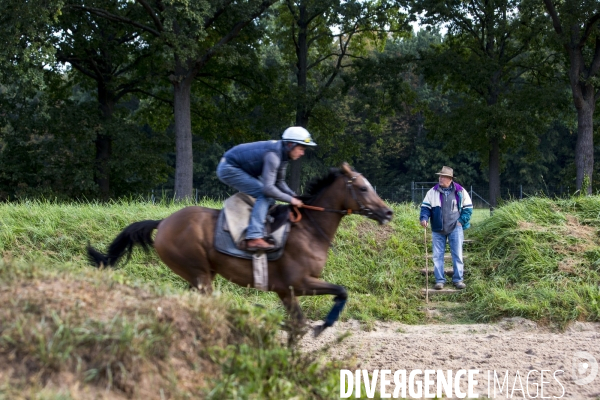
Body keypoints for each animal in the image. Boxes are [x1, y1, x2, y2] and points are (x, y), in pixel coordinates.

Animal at [85, 162, 394, 334]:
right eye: (363, 188)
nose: (388, 212)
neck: (309, 228)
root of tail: (164, 221)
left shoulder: (286, 291)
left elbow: (300, 321)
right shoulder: (299, 282)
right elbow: (340, 291)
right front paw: (323, 326)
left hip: (198, 276)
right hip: (199, 273)